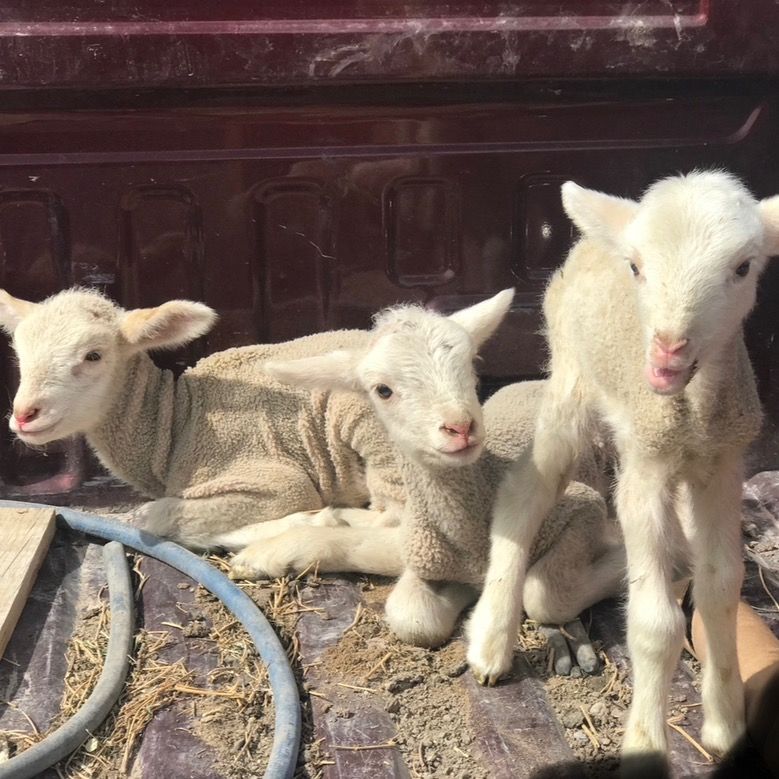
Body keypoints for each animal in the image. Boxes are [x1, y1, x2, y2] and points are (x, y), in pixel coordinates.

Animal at [0, 287, 407, 550]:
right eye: (18, 352)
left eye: (94, 356)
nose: (24, 415)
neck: (177, 422)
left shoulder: (273, 480)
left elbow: (151, 517)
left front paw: (310, 520)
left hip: (370, 426)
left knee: (396, 519)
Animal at [231, 292, 624, 664]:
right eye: (383, 390)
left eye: (470, 367)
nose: (460, 427)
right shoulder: (422, 547)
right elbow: (412, 617)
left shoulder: (580, 507)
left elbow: (544, 596)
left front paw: (619, 557)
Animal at [465, 171, 779, 768]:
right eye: (636, 267)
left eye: (743, 267)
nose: (667, 350)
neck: (688, 412)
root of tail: (596, 234)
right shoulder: (645, 474)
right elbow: (655, 623)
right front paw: (645, 745)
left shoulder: (722, 468)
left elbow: (721, 589)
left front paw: (725, 726)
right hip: (570, 381)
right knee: (527, 489)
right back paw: (491, 641)